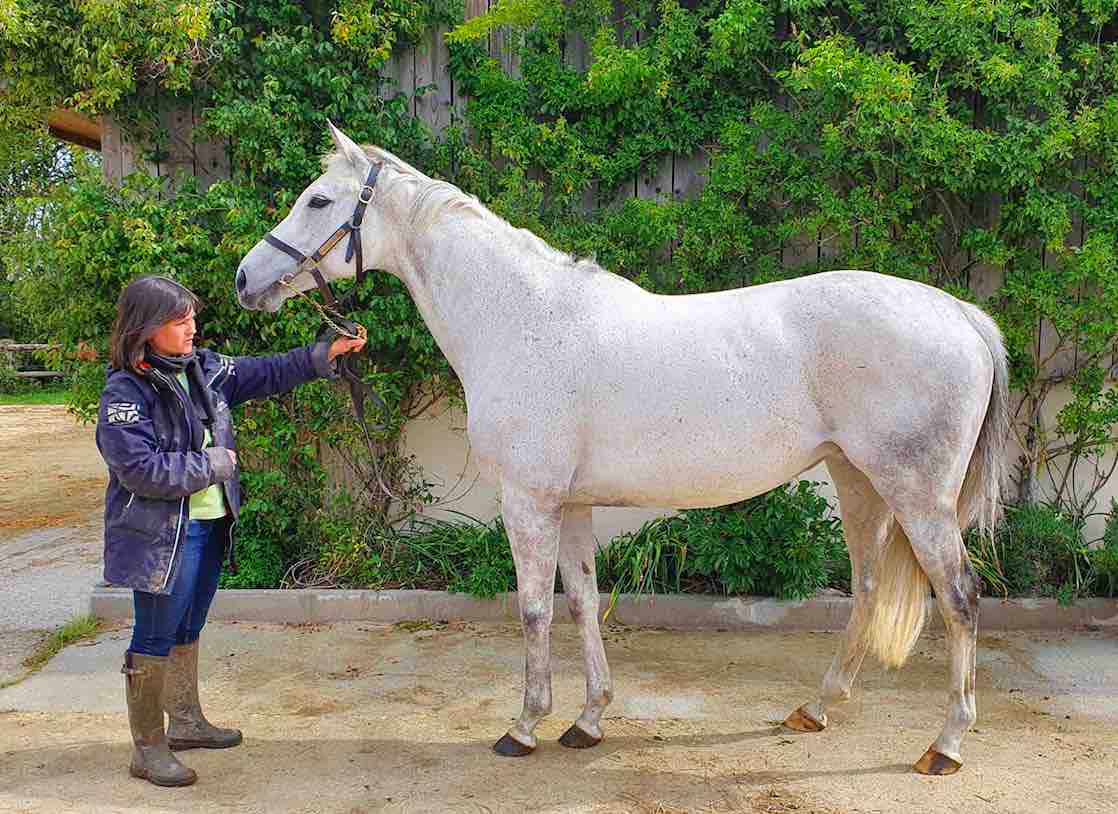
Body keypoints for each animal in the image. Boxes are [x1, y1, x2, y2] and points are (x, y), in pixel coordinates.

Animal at [240, 122, 1010, 773]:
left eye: (318, 199)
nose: (247, 280)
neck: (519, 318)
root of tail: (960, 314)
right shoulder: (572, 505)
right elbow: (584, 601)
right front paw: (587, 721)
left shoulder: (527, 501)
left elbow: (535, 609)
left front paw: (524, 726)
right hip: (859, 483)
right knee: (869, 587)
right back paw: (816, 710)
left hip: (917, 496)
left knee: (961, 598)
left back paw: (945, 745)